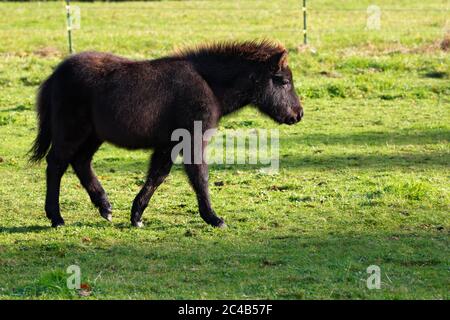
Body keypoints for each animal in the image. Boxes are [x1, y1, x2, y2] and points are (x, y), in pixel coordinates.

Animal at [28, 40, 302, 229]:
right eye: (283, 80)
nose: (298, 114)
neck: (209, 85)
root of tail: (56, 74)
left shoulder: (169, 144)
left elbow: (157, 176)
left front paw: (136, 216)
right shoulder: (192, 140)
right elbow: (199, 177)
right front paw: (214, 218)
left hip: (93, 136)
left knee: (80, 162)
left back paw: (105, 207)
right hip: (72, 132)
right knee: (56, 165)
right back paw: (56, 217)